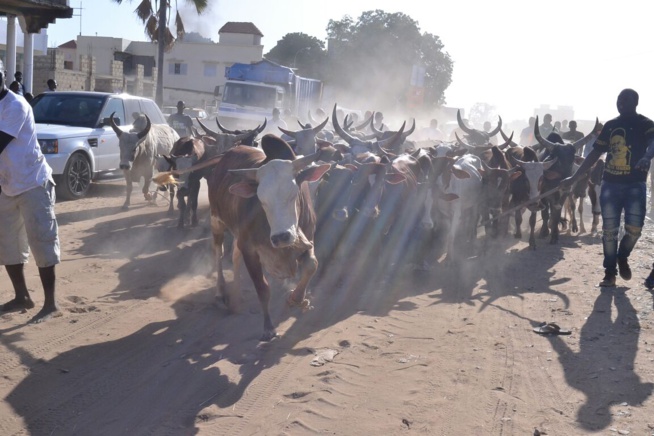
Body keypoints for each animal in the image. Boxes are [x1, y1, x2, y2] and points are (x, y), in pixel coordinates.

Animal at [209, 136, 334, 340]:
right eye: (261, 199)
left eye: (294, 193)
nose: (281, 237)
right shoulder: (250, 249)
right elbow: (262, 288)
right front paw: (268, 327)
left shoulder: (307, 238)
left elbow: (311, 265)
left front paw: (296, 299)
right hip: (216, 220)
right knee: (218, 254)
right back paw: (220, 293)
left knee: (234, 255)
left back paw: (237, 293)